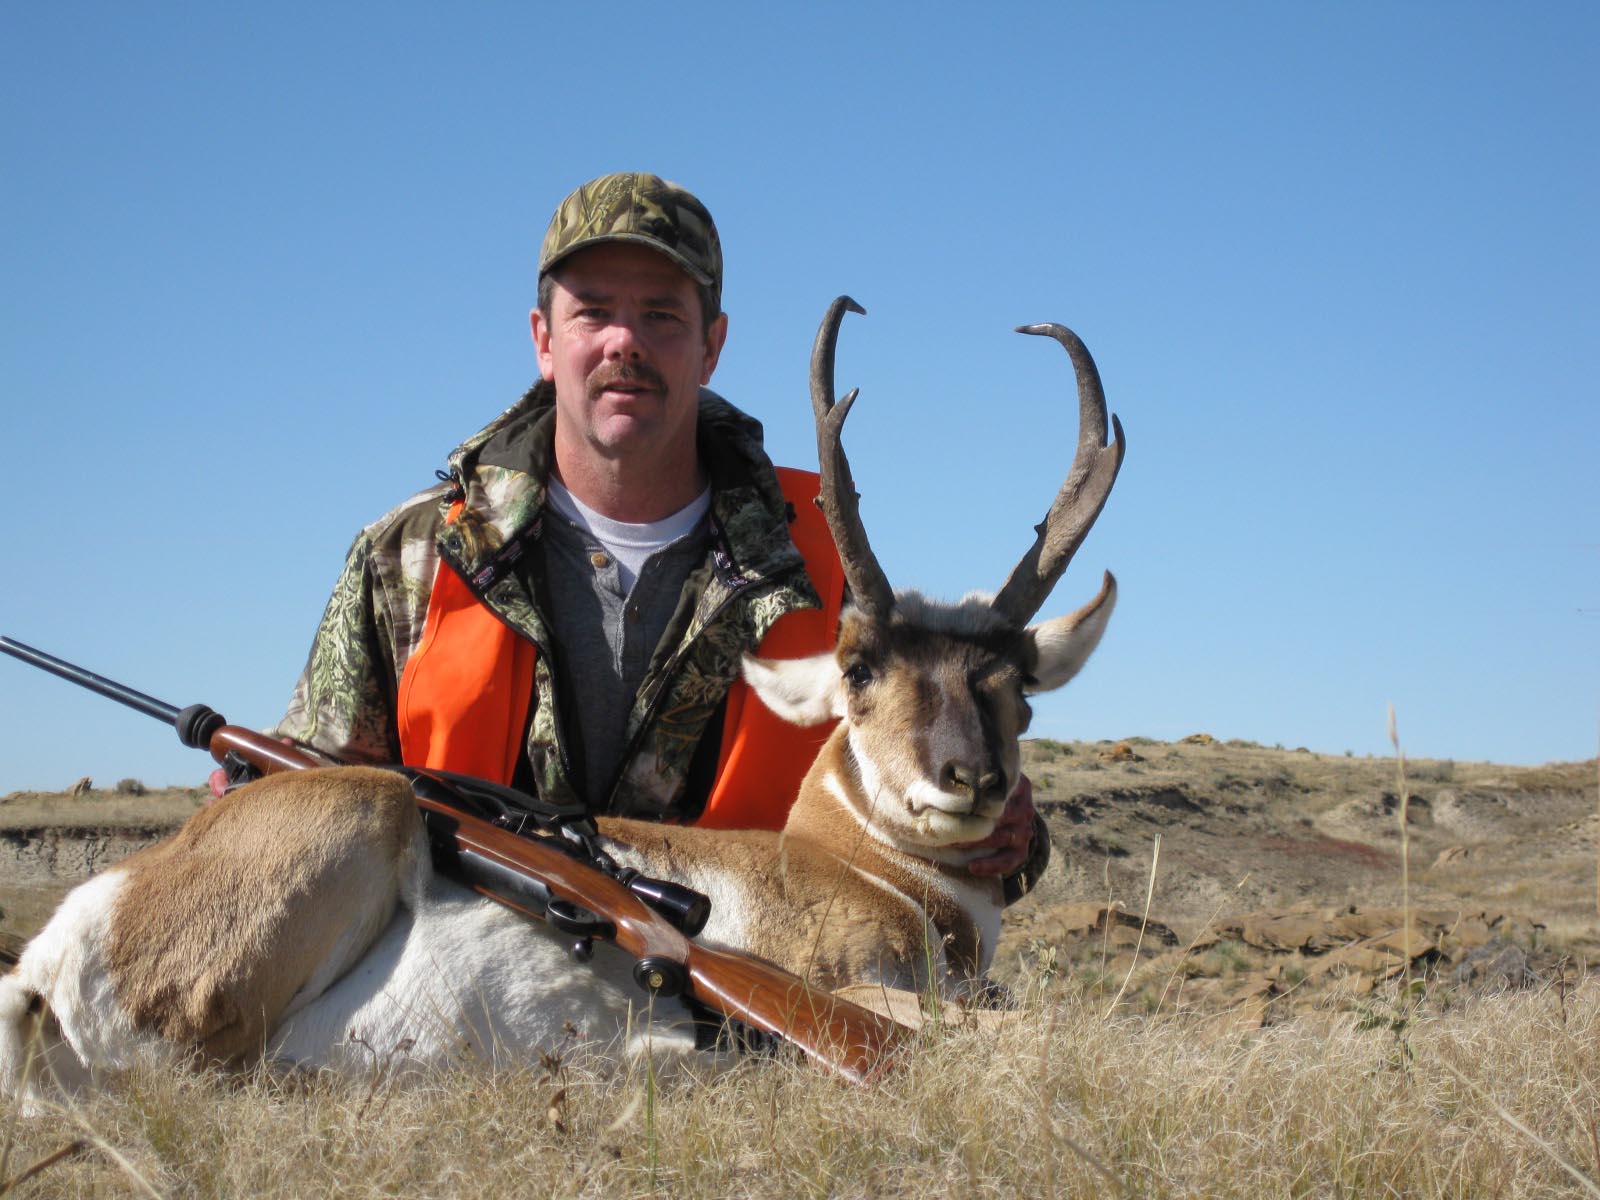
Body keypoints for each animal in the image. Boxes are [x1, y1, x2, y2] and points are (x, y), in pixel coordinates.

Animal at [0, 296, 1126, 1107]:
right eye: (859, 672)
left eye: (1018, 689)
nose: (969, 781)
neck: (855, 865)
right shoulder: (854, 987)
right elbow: (1018, 1030)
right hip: (365, 805)